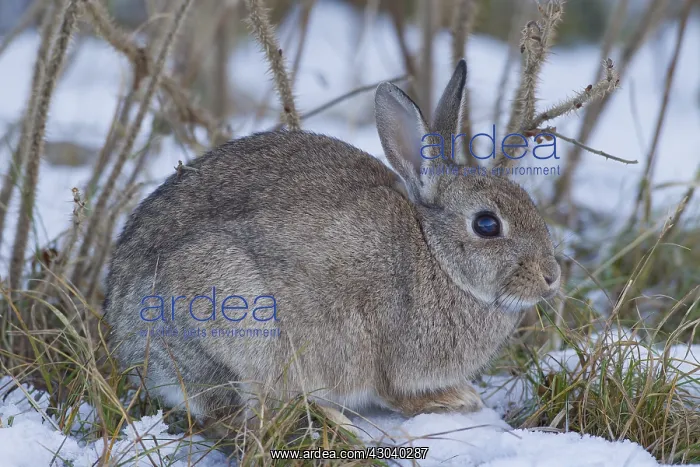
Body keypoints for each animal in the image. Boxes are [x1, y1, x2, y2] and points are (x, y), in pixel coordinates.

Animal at [104, 59, 561, 428]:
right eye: (486, 224)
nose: (551, 276)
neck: (435, 253)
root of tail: (136, 347)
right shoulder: (393, 358)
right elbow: (394, 392)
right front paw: (458, 399)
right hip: (240, 317)